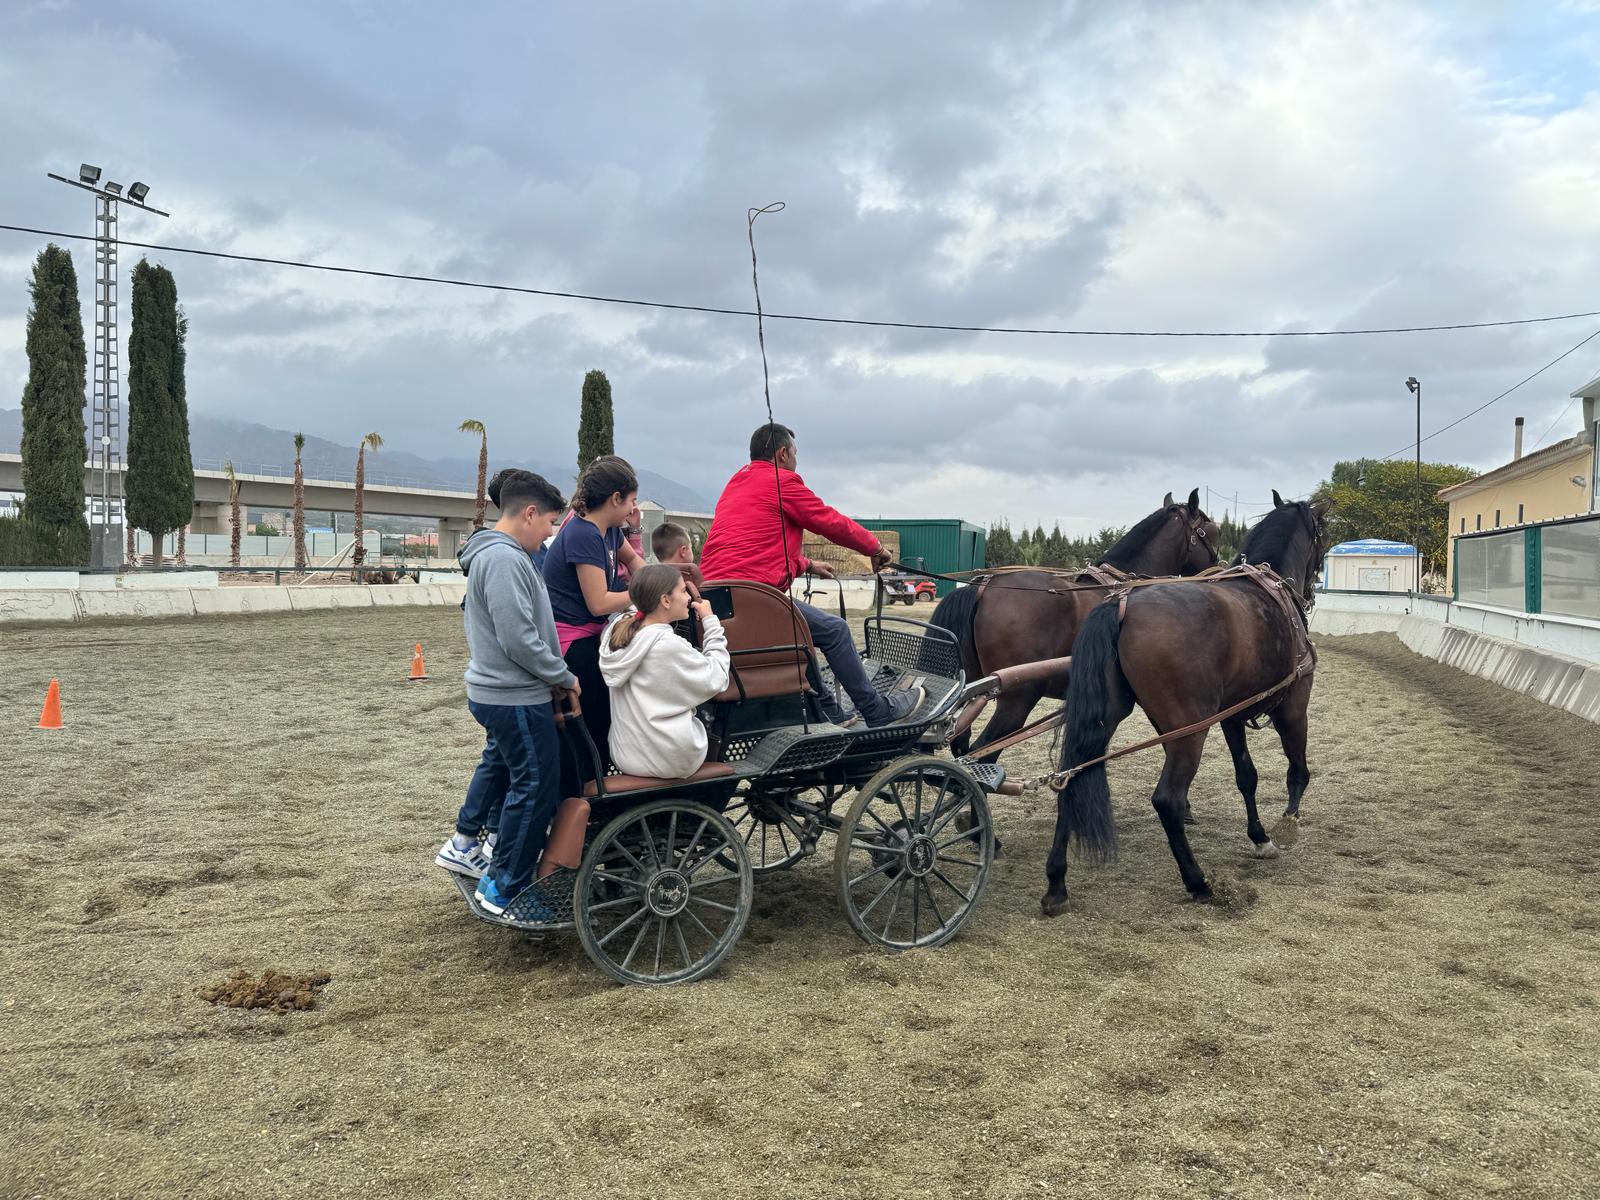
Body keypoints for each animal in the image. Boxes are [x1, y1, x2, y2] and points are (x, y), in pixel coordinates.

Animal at [1043, 492, 1331, 915]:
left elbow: (1247, 776)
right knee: (1167, 800)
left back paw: (1056, 883)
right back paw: (1198, 882)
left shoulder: (1231, 715)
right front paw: (1287, 826)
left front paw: (1259, 836)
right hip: (1189, 731)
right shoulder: (1294, 704)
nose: (1312, 590)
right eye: (1322, 539)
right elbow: (1298, 771)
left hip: (1107, 721)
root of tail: (1120, 605)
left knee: (1072, 779)